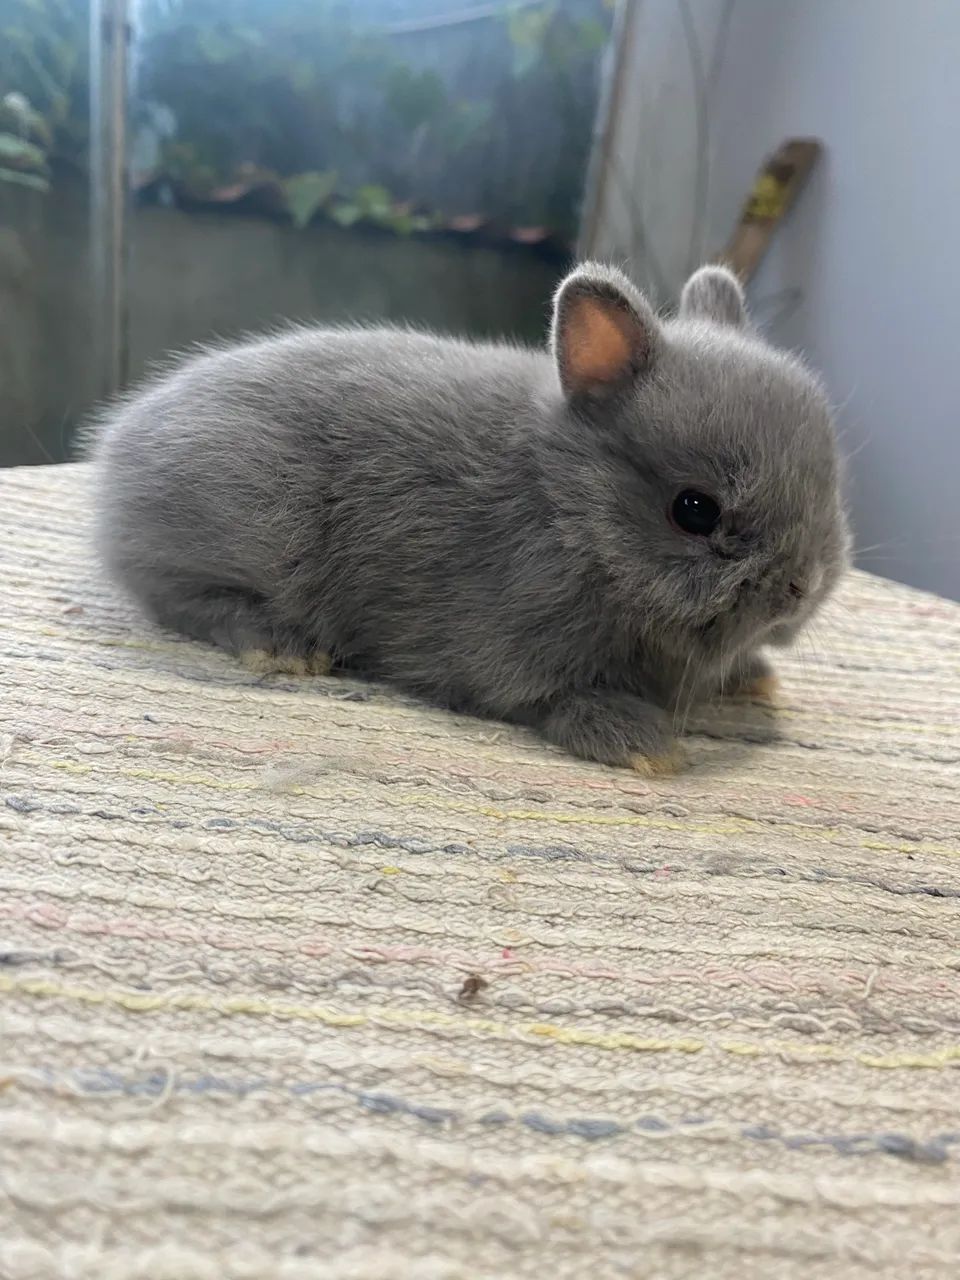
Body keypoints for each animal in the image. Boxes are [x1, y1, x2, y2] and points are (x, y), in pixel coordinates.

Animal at [88, 262, 849, 771]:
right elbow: (551, 698)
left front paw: (753, 675)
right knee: (175, 596)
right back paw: (283, 646)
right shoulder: (515, 644)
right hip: (250, 532)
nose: (801, 587)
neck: (571, 511)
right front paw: (645, 745)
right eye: (695, 511)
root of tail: (119, 444)